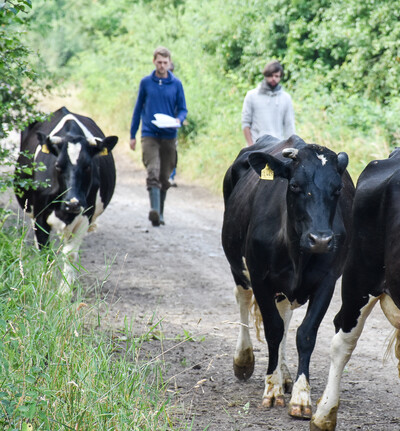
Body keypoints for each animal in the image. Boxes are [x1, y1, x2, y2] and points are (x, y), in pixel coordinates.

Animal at [16, 105, 119, 286]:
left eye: (88, 166)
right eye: (58, 165)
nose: (73, 203)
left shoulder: (85, 216)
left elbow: (70, 255)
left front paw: (64, 290)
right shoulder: (40, 216)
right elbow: (44, 253)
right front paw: (44, 283)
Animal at [220, 134, 354, 418]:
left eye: (337, 189)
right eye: (294, 185)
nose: (321, 239)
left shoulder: (327, 281)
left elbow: (304, 334)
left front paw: (301, 396)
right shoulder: (260, 276)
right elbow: (273, 329)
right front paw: (272, 390)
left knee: (285, 316)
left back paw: (284, 374)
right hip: (239, 266)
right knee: (243, 299)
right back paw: (244, 359)